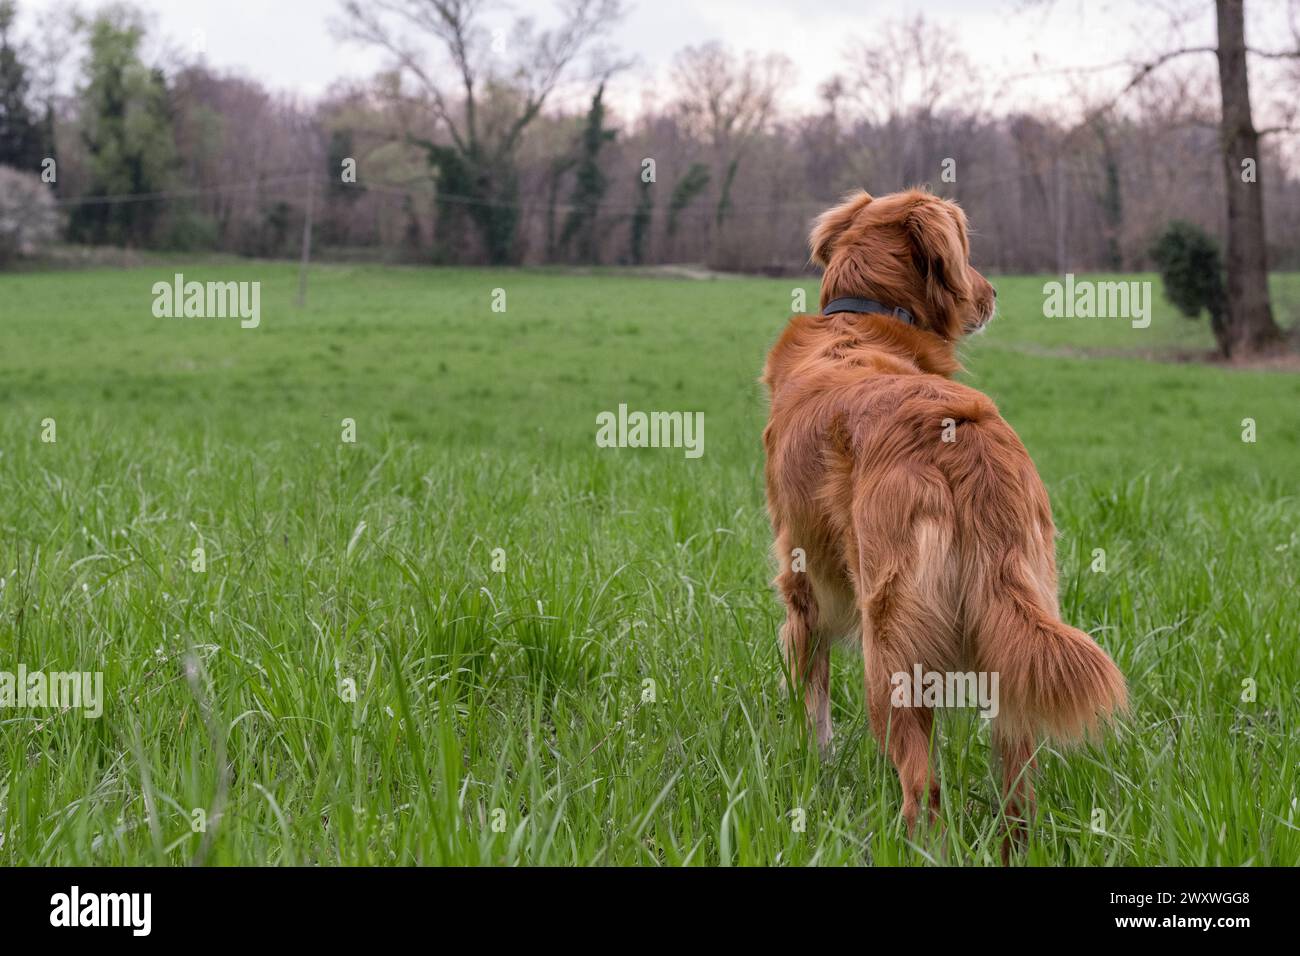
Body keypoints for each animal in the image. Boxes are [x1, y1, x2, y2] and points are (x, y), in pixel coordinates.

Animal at [759, 184, 1128, 853]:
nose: (993, 292)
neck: (864, 318)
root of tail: (962, 446)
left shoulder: (802, 585)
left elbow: (811, 699)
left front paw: (811, 768)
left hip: (889, 649)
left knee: (921, 787)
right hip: (1019, 629)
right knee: (1017, 786)